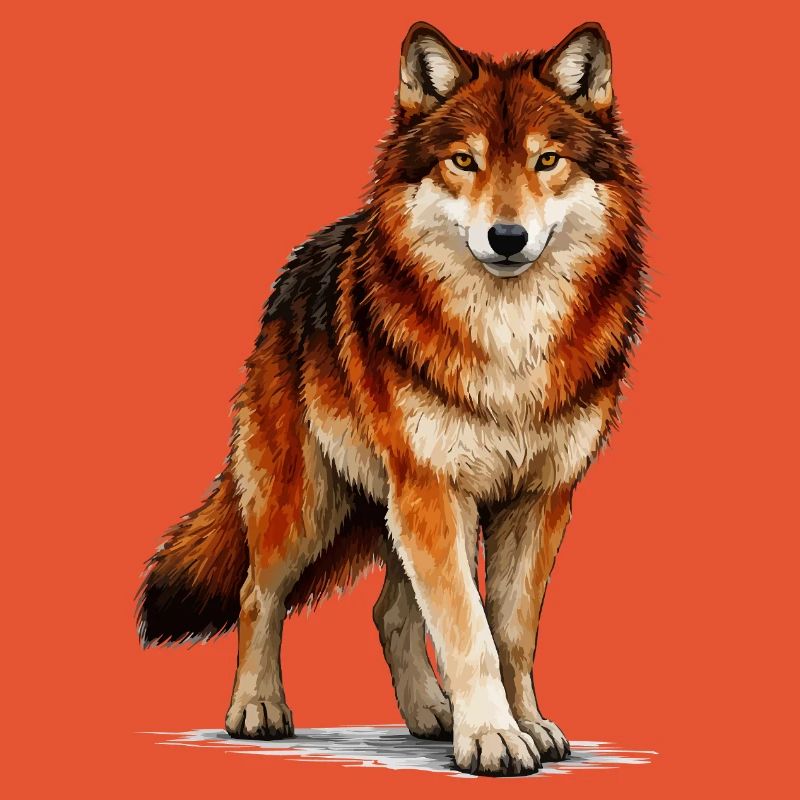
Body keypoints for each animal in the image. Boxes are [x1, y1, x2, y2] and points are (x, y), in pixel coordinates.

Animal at [137, 20, 646, 776]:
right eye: (463, 162)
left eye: (547, 160)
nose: (507, 238)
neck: (509, 341)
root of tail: (300, 265)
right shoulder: (434, 489)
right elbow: (470, 631)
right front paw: (493, 737)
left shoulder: (540, 499)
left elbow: (512, 633)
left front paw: (526, 724)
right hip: (311, 505)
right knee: (259, 593)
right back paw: (257, 710)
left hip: (397, 509)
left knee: (389, 612)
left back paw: (432, 715)